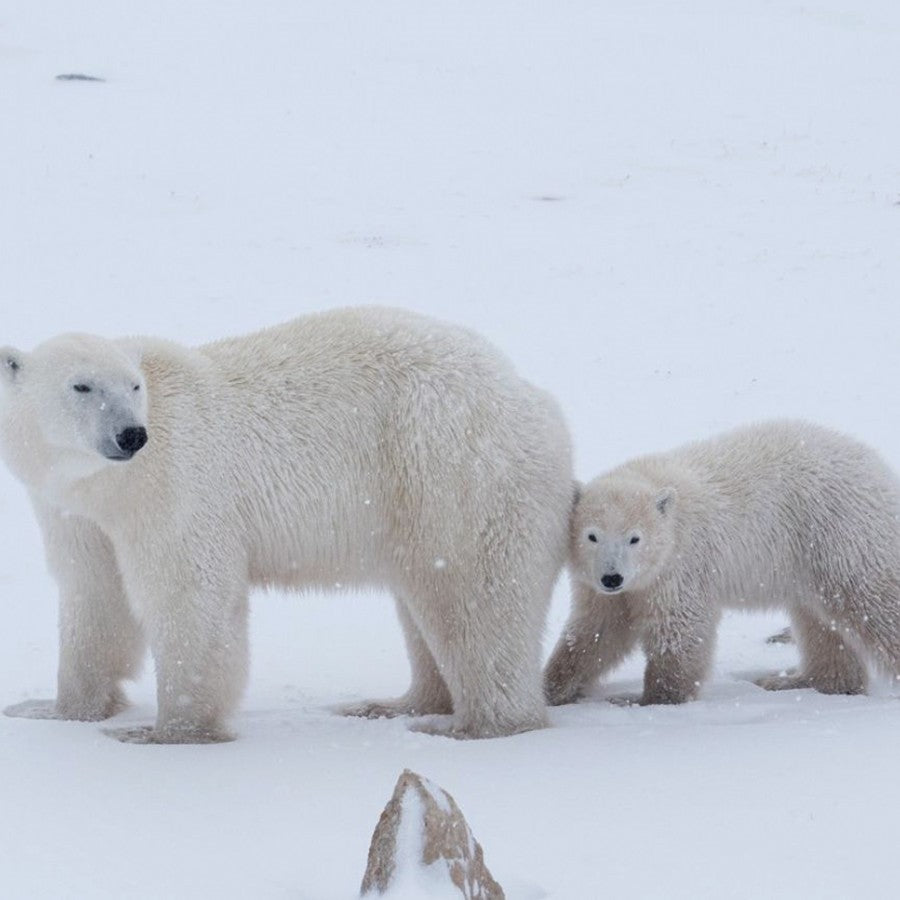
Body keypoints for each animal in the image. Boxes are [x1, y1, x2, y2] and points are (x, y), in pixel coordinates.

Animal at [0, 306, 573, 743]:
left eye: (134, 386)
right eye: (81, 385)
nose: (131, 435)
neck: (114, 483)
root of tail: (533, 397)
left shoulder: (178, 482)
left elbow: (190, 592)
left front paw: (167, 731)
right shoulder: (75, 510)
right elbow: (94, 594)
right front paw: (52, 709)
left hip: (452, 472)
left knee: (474, 599)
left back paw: (474, 726)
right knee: (424, 599)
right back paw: (394, 704)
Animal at [544, 420, 900, 707]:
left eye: (635, 538)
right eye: (592, 535)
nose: (612, 577)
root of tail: (878, 468)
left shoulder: (680, 565)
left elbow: (681, 630)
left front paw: (647, 700)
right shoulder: (606, 585)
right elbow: (598, 630)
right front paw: (553, 688)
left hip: (840, 534)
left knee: (872, 601)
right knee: (819, 622)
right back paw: (795, 681)